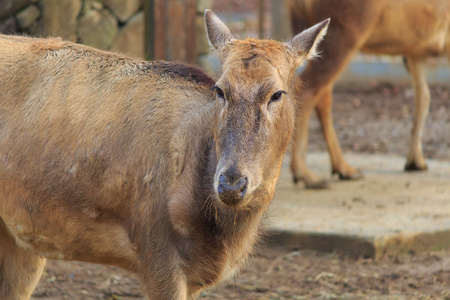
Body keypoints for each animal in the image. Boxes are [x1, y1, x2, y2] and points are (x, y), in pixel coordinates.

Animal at [286, 0, 450, 188]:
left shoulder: (415, 50)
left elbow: (423, 98)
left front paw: (415, 161)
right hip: (344, 34)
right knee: (307, 91)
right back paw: (304, 174)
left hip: (305, 30)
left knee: (321, 95)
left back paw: (344, 168)